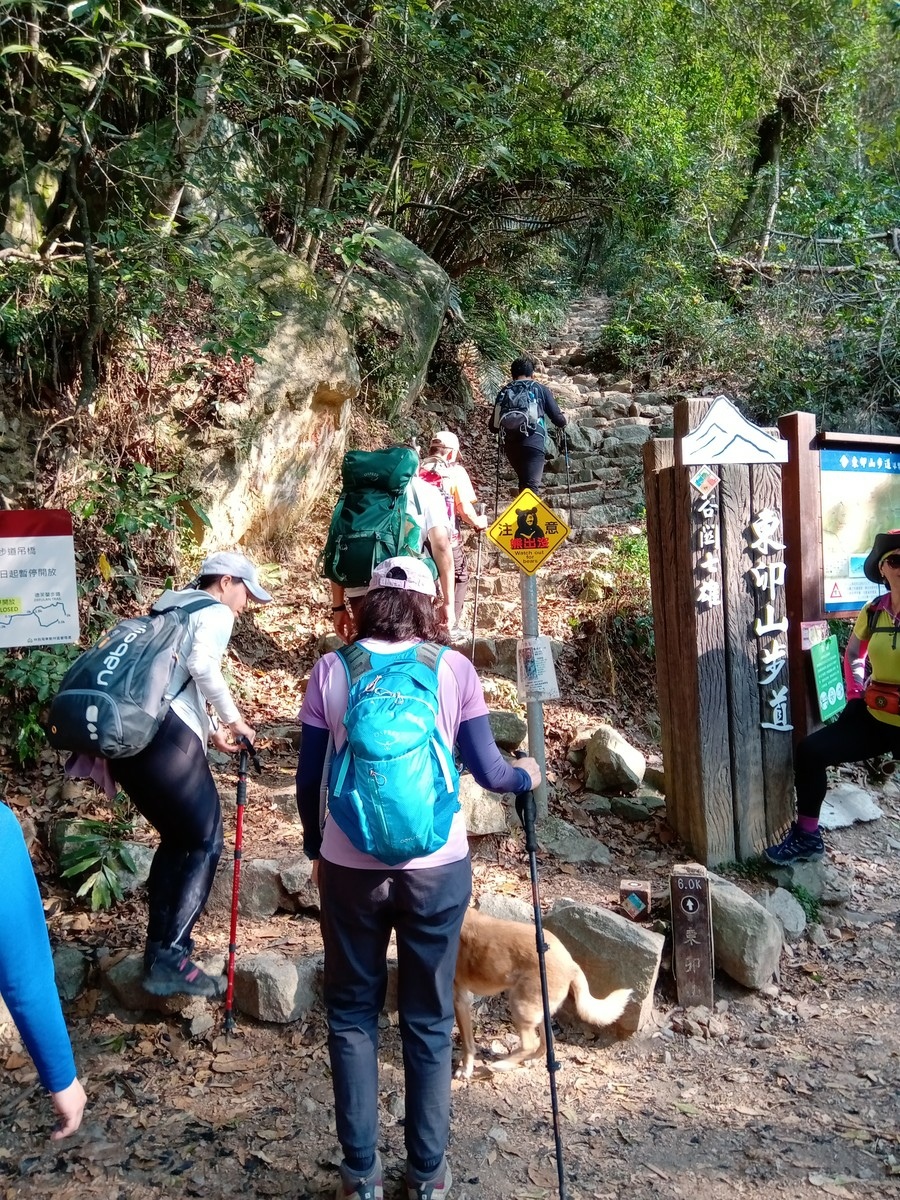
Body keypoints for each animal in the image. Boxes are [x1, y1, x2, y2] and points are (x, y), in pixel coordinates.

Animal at [451, 907, 633, 1080]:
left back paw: (503, 1065)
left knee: (529, 1044)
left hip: (520, 1006)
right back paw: (532, 1059)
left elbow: (467, 1043)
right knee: (548, 1040)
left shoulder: (459, 1001)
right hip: (539, 1010)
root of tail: (571, 964)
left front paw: (465, 1069)